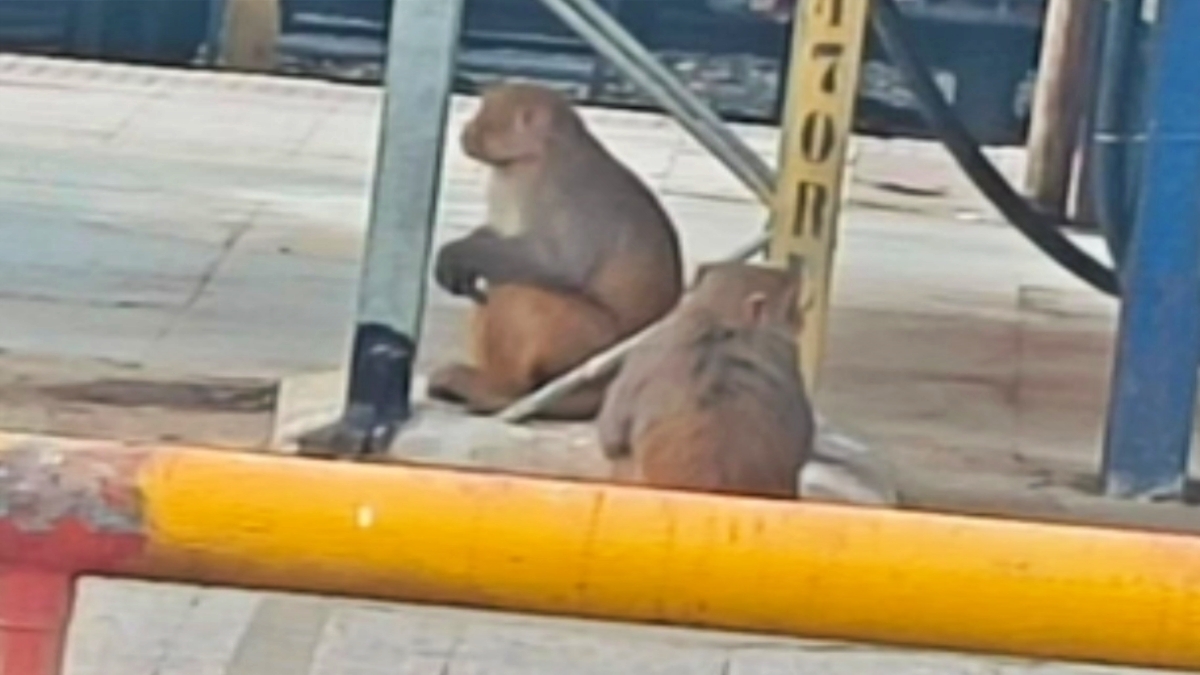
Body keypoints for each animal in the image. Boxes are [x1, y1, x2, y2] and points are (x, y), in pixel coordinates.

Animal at [429, 82, 686, 420]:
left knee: (517, 291)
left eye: (484, 114)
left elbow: (557, 264)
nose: (467, 130)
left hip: (591, 344)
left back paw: (500, 391)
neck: (533, 156)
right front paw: (472, 244)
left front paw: (458, 253)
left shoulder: (561, 187)